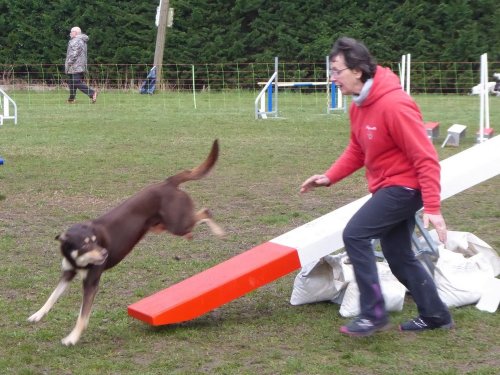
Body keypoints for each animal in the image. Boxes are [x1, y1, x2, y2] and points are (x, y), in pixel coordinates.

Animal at [27, 140, 223, 346]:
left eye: (95, 241)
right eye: (85, 245)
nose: (105, 253)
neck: (77, 261)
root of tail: (167, 182)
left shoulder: (91, 283)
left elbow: (82, 316)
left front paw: (72, 337)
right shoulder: (67, 273)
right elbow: (52, 296)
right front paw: (37, 314)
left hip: (177, 224)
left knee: (205, 212)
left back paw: (219, 231)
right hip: (165, 226)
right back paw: (193, 236)